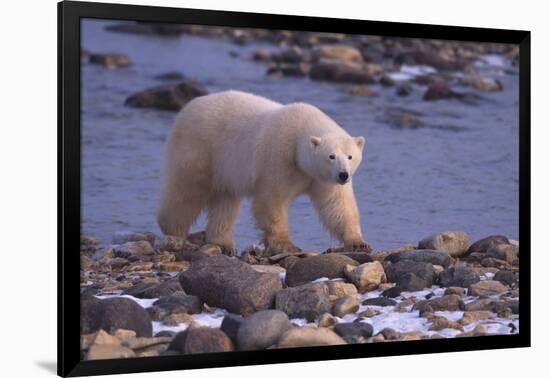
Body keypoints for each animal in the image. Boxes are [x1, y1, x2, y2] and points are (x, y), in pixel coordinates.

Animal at [157, 89, 370, 254]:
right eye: (331, 156)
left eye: (350, 156)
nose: (343, 175)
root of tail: (186, 108)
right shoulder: (278, 158)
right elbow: (272, 200)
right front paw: (286, 245)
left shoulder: (321, 179)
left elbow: (338, 205)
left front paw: (358, 243)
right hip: (200, 149)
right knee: (188, 191)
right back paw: (174, 231)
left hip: (226, 166)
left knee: (226, 200)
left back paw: (222, 242)